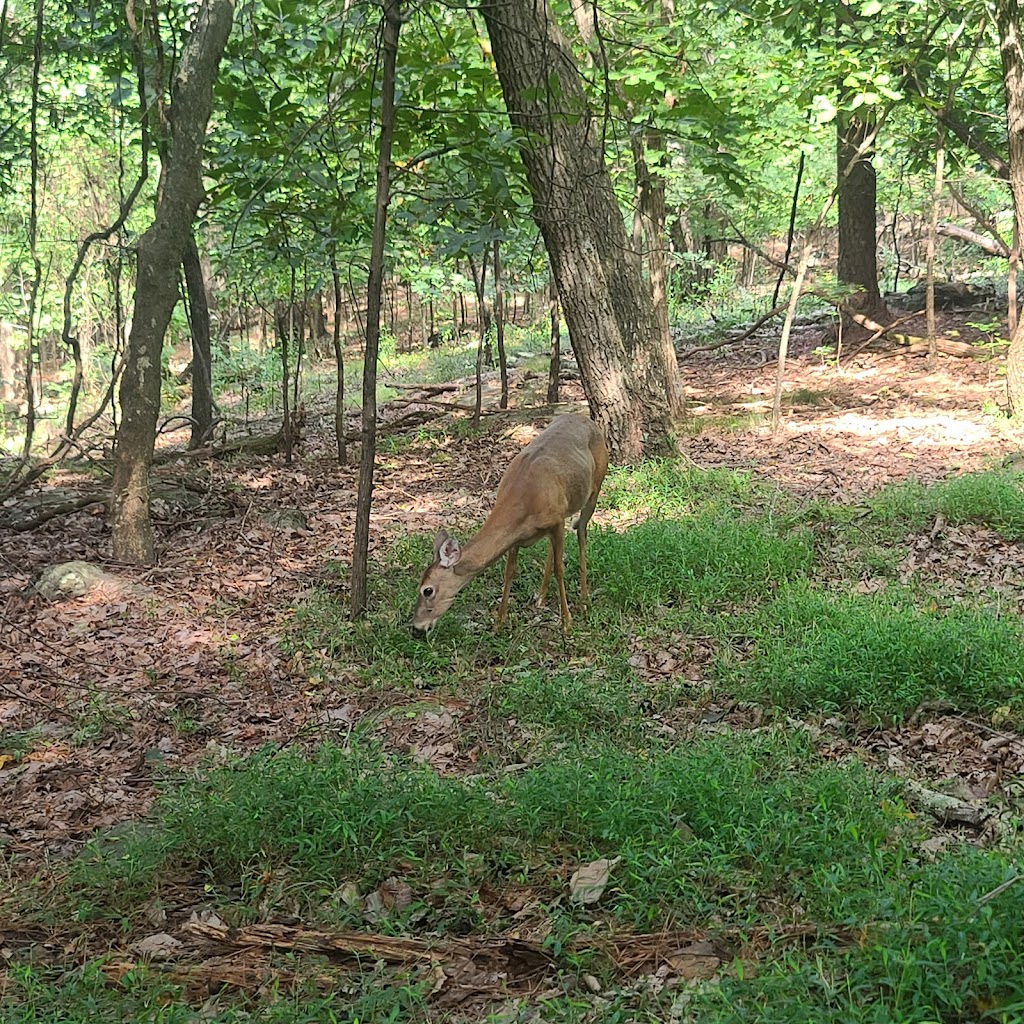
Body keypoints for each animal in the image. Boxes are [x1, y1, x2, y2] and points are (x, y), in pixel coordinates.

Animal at [409, 413, 606, 634]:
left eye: (427, 590)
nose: (417, 628)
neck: (524, 500)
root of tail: (587, 420)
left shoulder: (555, 521)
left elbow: (559, 569)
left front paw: (566, 623)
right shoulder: (519, 536)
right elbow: (509, 571)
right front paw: (499, 622)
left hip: (594, 489)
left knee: (581, 532)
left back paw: (583, 600)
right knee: (555, 545)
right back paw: (541, 596)